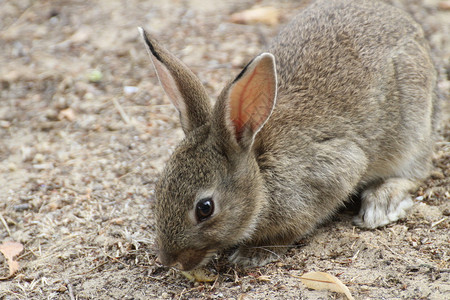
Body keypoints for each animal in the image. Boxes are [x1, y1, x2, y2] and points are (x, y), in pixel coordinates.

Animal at [139, 0, 438, 272]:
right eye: (158, 188)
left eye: (205, 208)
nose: (169, 260)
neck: (260, 175)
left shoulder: (333, 170)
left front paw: (252, 254)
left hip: (412, 128)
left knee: (416, 172)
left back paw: (381, 203)